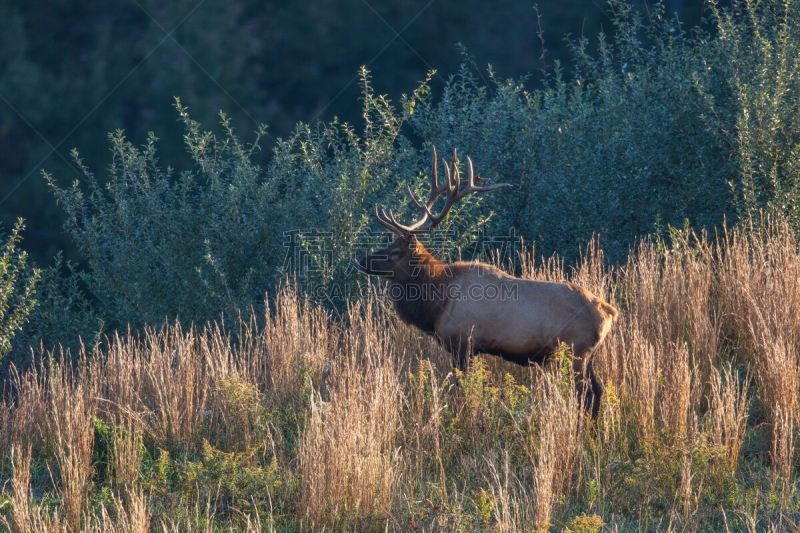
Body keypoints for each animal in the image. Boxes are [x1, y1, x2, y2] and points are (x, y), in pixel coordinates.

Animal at [358, 147, 620, 416]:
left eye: (394, 251)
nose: (362, 260)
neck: (436, 303)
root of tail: (610, 312)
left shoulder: (462, 343)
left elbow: (462, 390)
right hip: (587, 355)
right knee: (598, 390)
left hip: (576, 352)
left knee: (586, 394)